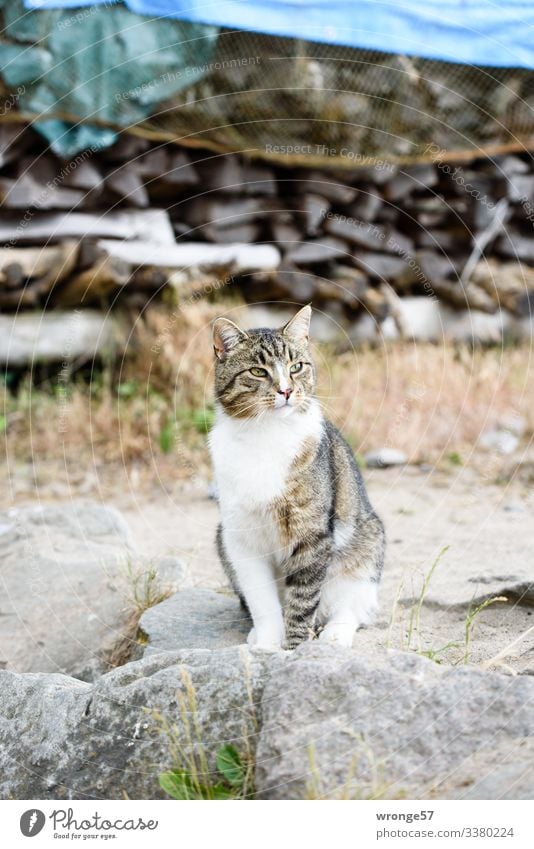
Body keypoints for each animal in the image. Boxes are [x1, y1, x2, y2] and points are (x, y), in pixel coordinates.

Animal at [209, 306, 386, 648]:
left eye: (296, 367)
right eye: (258, 372)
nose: (286, 390)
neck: (266, 433)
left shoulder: (311, 535)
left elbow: (302, 600)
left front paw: (295, 649)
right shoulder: (240, 538)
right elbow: (261, 601)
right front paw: (266, 644)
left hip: (367, 545)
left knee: (351, 607)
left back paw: (334, 634)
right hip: (221, 538)